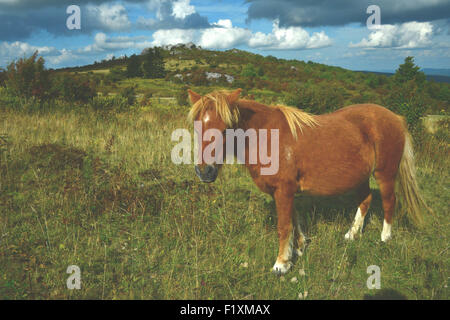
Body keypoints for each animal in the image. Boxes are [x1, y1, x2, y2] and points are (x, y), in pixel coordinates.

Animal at [185, 88, 428, 276]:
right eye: (197, 126)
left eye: (226, 128)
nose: (204, 171)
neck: (267, 137)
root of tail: (396, 118)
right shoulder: (285, 192)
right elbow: (294, 220)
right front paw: (299, 247)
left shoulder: (284, 190)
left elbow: (284, 226)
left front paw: (281, 264)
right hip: (360, 177)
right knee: (366, 199)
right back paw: (351, 234)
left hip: (384, 173)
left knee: (389, 201)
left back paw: (385, 238)